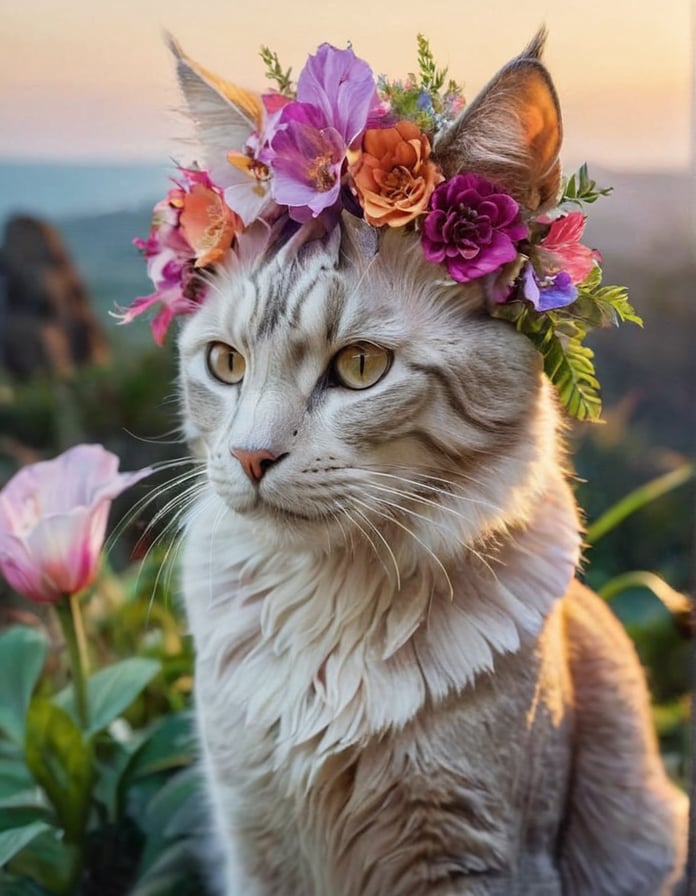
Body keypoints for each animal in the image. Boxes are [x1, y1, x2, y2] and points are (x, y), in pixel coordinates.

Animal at [171, 29, 688, 896]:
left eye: (359, 368)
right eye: (225, 364)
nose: (248, 455)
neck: (329, 621)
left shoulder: (478, 854)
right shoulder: (254, 845)